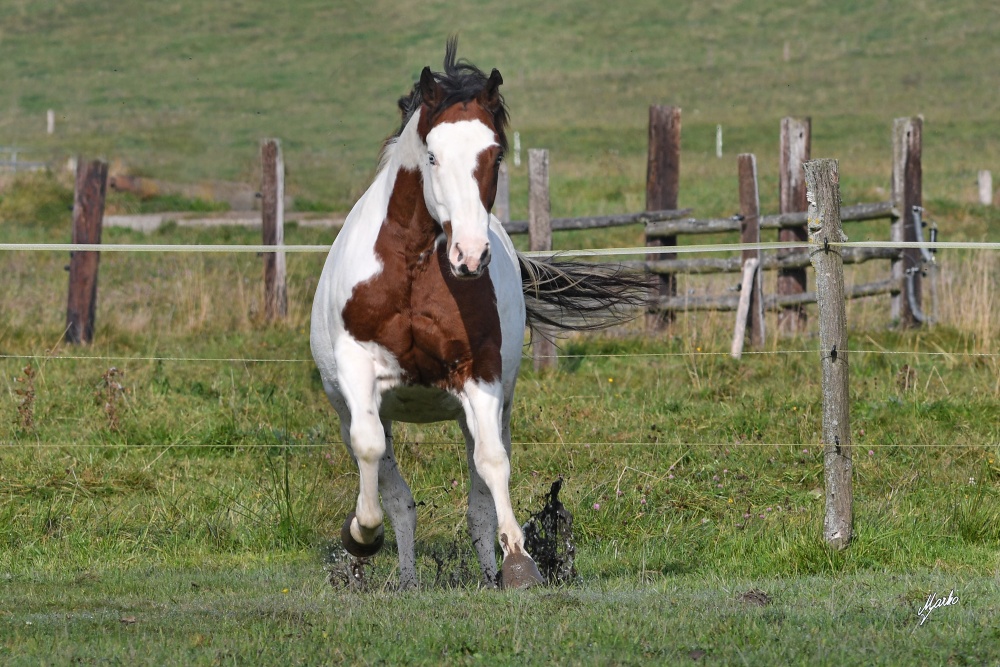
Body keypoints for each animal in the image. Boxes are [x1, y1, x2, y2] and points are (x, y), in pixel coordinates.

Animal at [308, 40, 644, 588]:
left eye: (496, 154)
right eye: (432, 154)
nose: (470, 255)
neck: (413, 269)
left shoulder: (480, 375)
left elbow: (492, 466)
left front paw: (519, 562)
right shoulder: (358, 370)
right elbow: (370, 450)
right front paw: (360, 535)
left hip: (489, 406)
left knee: (477, 495)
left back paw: (486, 572)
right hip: (350, 405)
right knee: (396, 494)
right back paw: (404, 577)